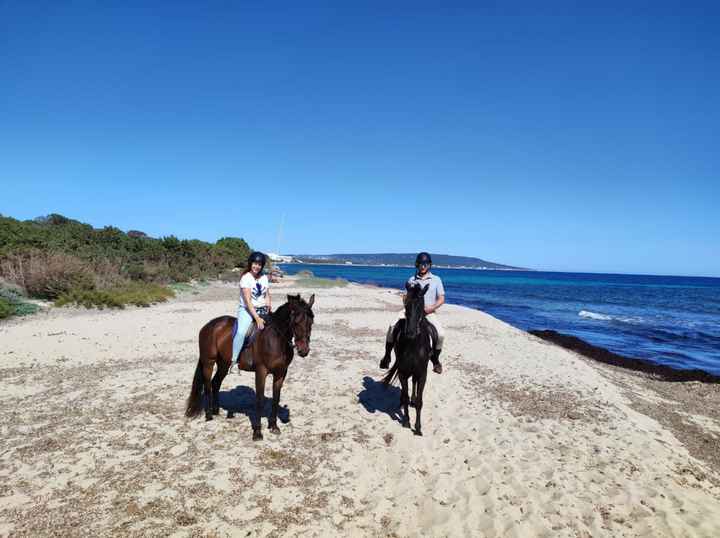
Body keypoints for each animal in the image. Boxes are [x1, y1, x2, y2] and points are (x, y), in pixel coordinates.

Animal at [184, 294, 314, 440]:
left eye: (311, 322)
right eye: (296, 322)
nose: (304, 350)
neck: (276, 339)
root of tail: (209, 325)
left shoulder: (281, 373)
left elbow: (276, 398)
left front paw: (274, 426)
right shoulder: (261, 371)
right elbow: (259, 400)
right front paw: (257, 432)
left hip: (224, 364)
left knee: (215, 383)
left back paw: (216, 411)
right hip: (208, 362)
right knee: (207, 386)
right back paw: (209, 415)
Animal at [382, 282, 434, 434]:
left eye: (421, 305)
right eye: (406, 304)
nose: (410, 332)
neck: (413, 345)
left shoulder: (422, 374)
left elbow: (420, 401)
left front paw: (418, 428)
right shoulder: (403, 372)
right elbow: (405, 396)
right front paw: (406, 421)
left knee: (414, 383)